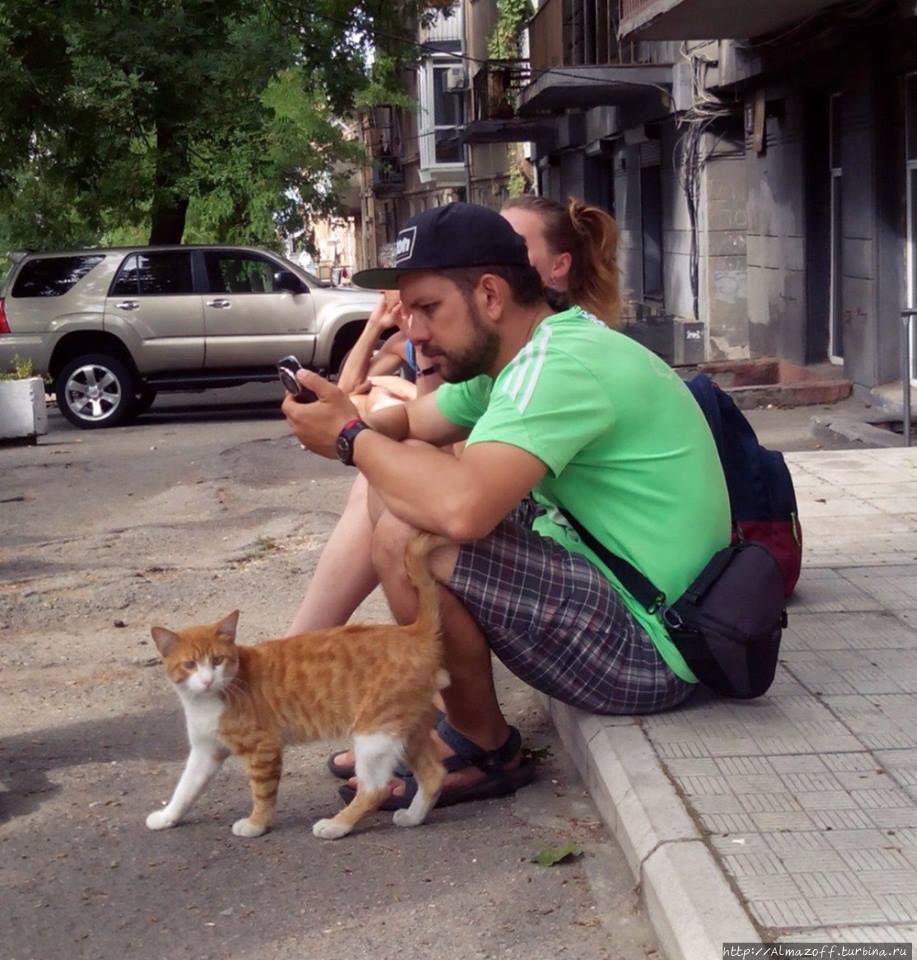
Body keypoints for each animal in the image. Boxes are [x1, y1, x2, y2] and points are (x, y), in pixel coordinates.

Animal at [145, 532, 450, 840]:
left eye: (217, 660)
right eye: (190, 665)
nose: (207, 680)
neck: (208, 701)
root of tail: (413, 631)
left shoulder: (263, 748)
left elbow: (262, 794)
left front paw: (256, 824)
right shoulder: (205, 750)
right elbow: (185, 788)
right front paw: (167, 817)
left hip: (373, 733)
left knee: (375, 789)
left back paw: (336, 825)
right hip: (408, 731)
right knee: (434, 775)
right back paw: (412, 816)